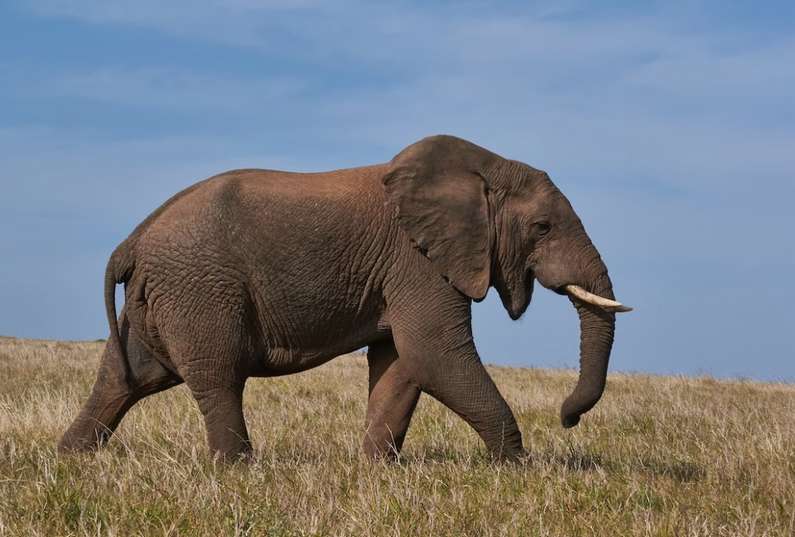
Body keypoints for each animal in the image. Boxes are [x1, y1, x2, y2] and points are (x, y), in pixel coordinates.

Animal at [59, 135, 632, 462]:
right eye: (542, 227)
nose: (567, 418)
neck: (481, 168)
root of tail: (134, 239)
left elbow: (402, 363)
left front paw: (376, 471)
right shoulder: (417, 261)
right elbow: (435, 354)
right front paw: (514, 467)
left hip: (160, 298)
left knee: (127, 377)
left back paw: (71, 460)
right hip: (199, 289)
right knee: (217, 376)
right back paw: (238, 471)